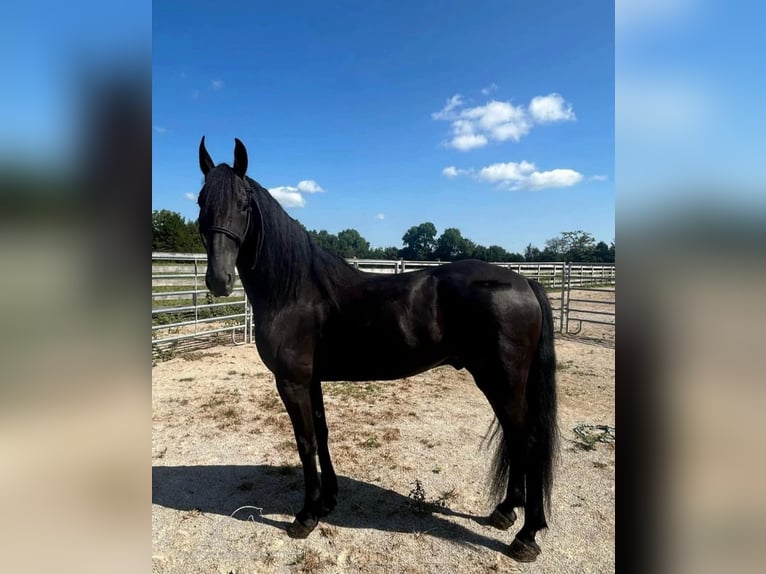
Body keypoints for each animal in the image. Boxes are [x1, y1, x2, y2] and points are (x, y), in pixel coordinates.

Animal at [196, 138, 560, 564]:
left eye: (244, 204)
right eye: (201, 200)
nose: (218, 280)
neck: (296, 292)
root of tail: (523, 282)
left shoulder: (292, 382)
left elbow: (305, 443)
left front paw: (305, 517)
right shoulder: (312, 381)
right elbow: (322, 434)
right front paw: (328, 501)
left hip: (501, 382)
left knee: (528, 442)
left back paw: (526, 535)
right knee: (517, 440)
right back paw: (505, 511)